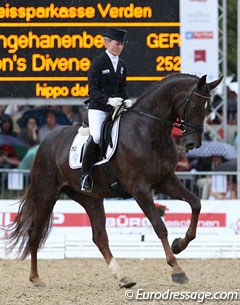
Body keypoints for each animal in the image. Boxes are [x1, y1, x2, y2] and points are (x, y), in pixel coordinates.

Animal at [6, 73, 223, 288]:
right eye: (194, 106)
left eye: (209, 108)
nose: (193, 143)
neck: (149, 131)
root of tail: (45, 142)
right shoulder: (140, 189)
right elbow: (159, 226)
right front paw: (177, 269)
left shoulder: (166, 181)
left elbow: (196, 203)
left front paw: (179, 244)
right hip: (46, 195)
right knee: (34, 234)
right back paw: (35, 278)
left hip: (90, 199)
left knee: (99, 237)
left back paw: (123, 277)